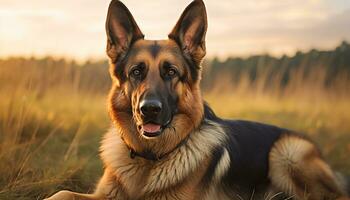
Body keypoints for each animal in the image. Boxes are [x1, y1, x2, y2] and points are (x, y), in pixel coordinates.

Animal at [46, 0, 350, 199]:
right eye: (136, 72)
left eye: (171, 72)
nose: (149, 110)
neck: (151, 159)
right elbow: (61, 192)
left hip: (286, 151)